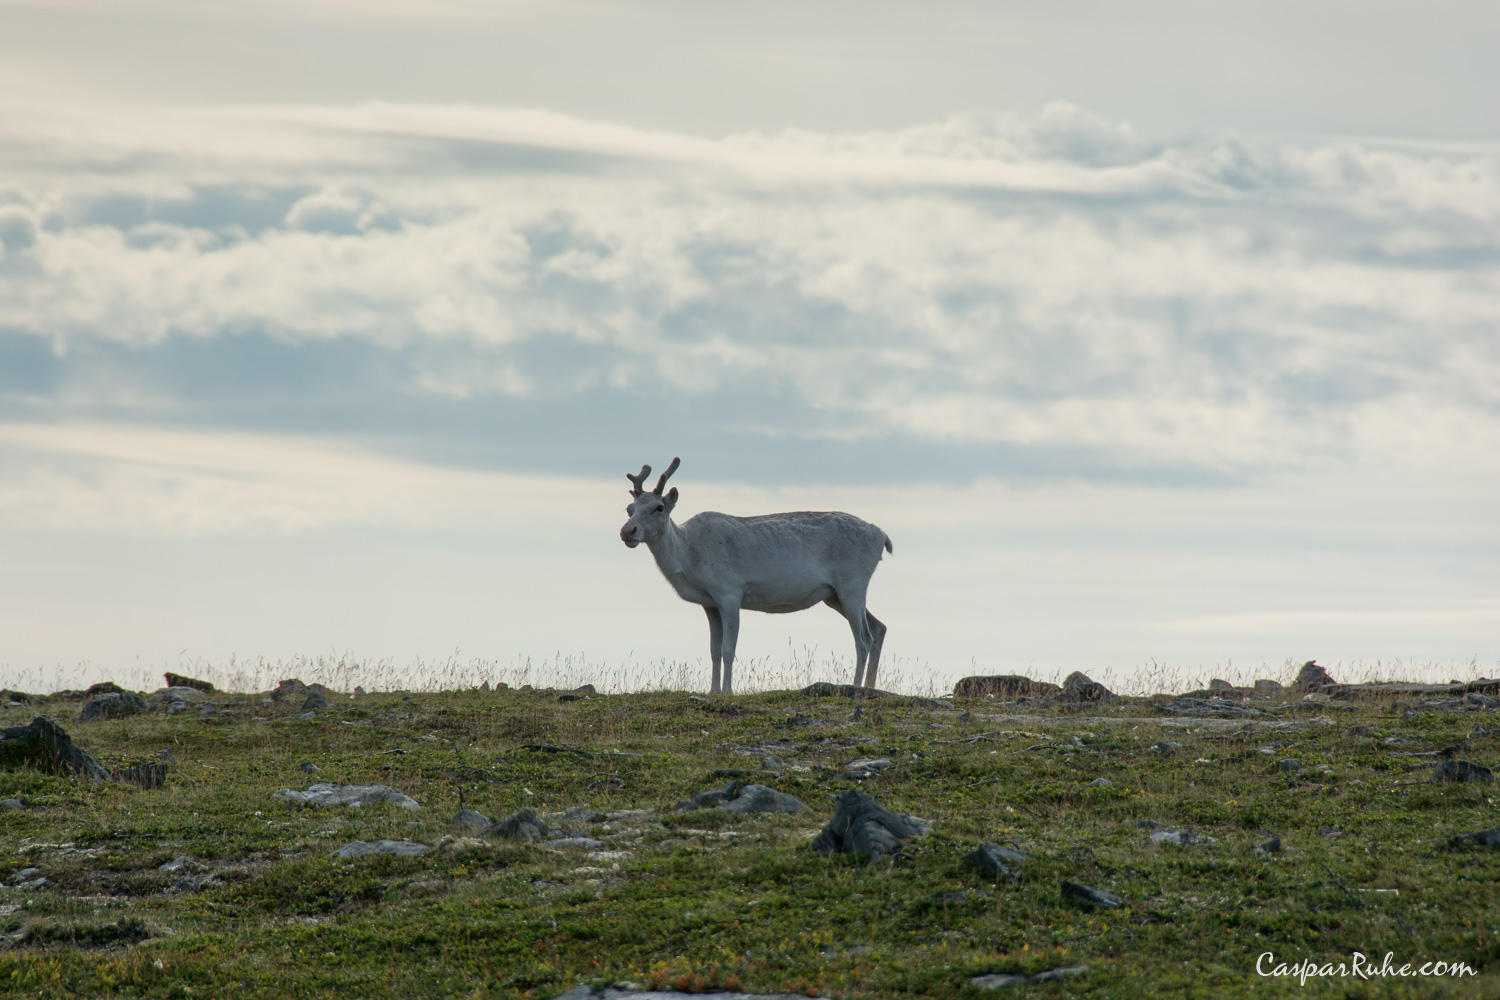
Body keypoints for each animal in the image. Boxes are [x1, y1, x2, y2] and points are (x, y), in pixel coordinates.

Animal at [619, 457, 892, 696]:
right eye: (629, 508)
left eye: (659, 507)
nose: (627, 531)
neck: (688, 558)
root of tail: (883, 537)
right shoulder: (709, 603)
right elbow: (714, 650)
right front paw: (713, 690)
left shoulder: (729, 592)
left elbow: (728, 649)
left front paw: (727, 691)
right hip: (834, 595)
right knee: (879, 627)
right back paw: (870, 686)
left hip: (852, 583)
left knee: (863, 638)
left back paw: (855, 686)